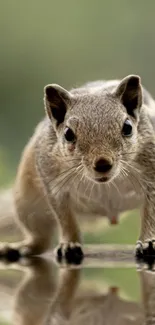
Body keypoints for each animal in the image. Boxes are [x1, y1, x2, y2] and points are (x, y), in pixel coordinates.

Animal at [0, 73, 155, 260]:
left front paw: (148, 242)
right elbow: (65, 218)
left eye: (127, 127)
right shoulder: (54, 185)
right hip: (27, 205)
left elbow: (150, 213)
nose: (102, 164)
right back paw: (19, 248)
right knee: (40, 240)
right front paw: (69, 244)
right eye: (68, 134)